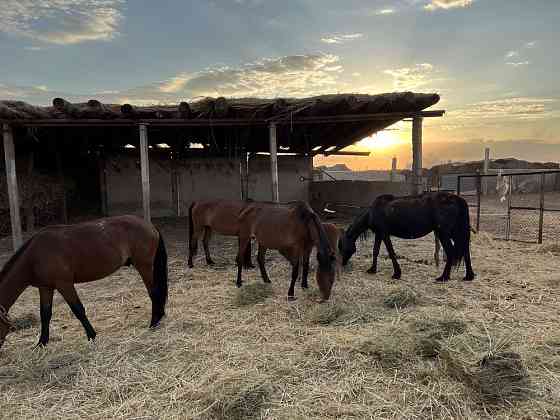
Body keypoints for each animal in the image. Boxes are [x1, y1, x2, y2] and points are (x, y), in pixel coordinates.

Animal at [0, 215, 168, 350]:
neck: (35, 256)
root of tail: (150, 226)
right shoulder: (45, 287)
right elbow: (45, 314)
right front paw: (41, 343)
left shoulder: (64, 284)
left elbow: (78, 310)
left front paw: (92, 336)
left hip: (144, 266)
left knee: (154, 293)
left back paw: (153, 323)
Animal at [340, 193, 474, 284]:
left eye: (342, 247)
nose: (342, 264)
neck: (373, 211)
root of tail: (457, 199)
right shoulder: (379, 234)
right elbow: (375, 251)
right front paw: (372, 269)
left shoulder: (384, 234)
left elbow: (391, 252)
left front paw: (396, 274)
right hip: (455, 232)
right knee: (466, 250)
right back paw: (469, 276)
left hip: (444, 233)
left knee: (451, 252)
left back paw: (443, 277)